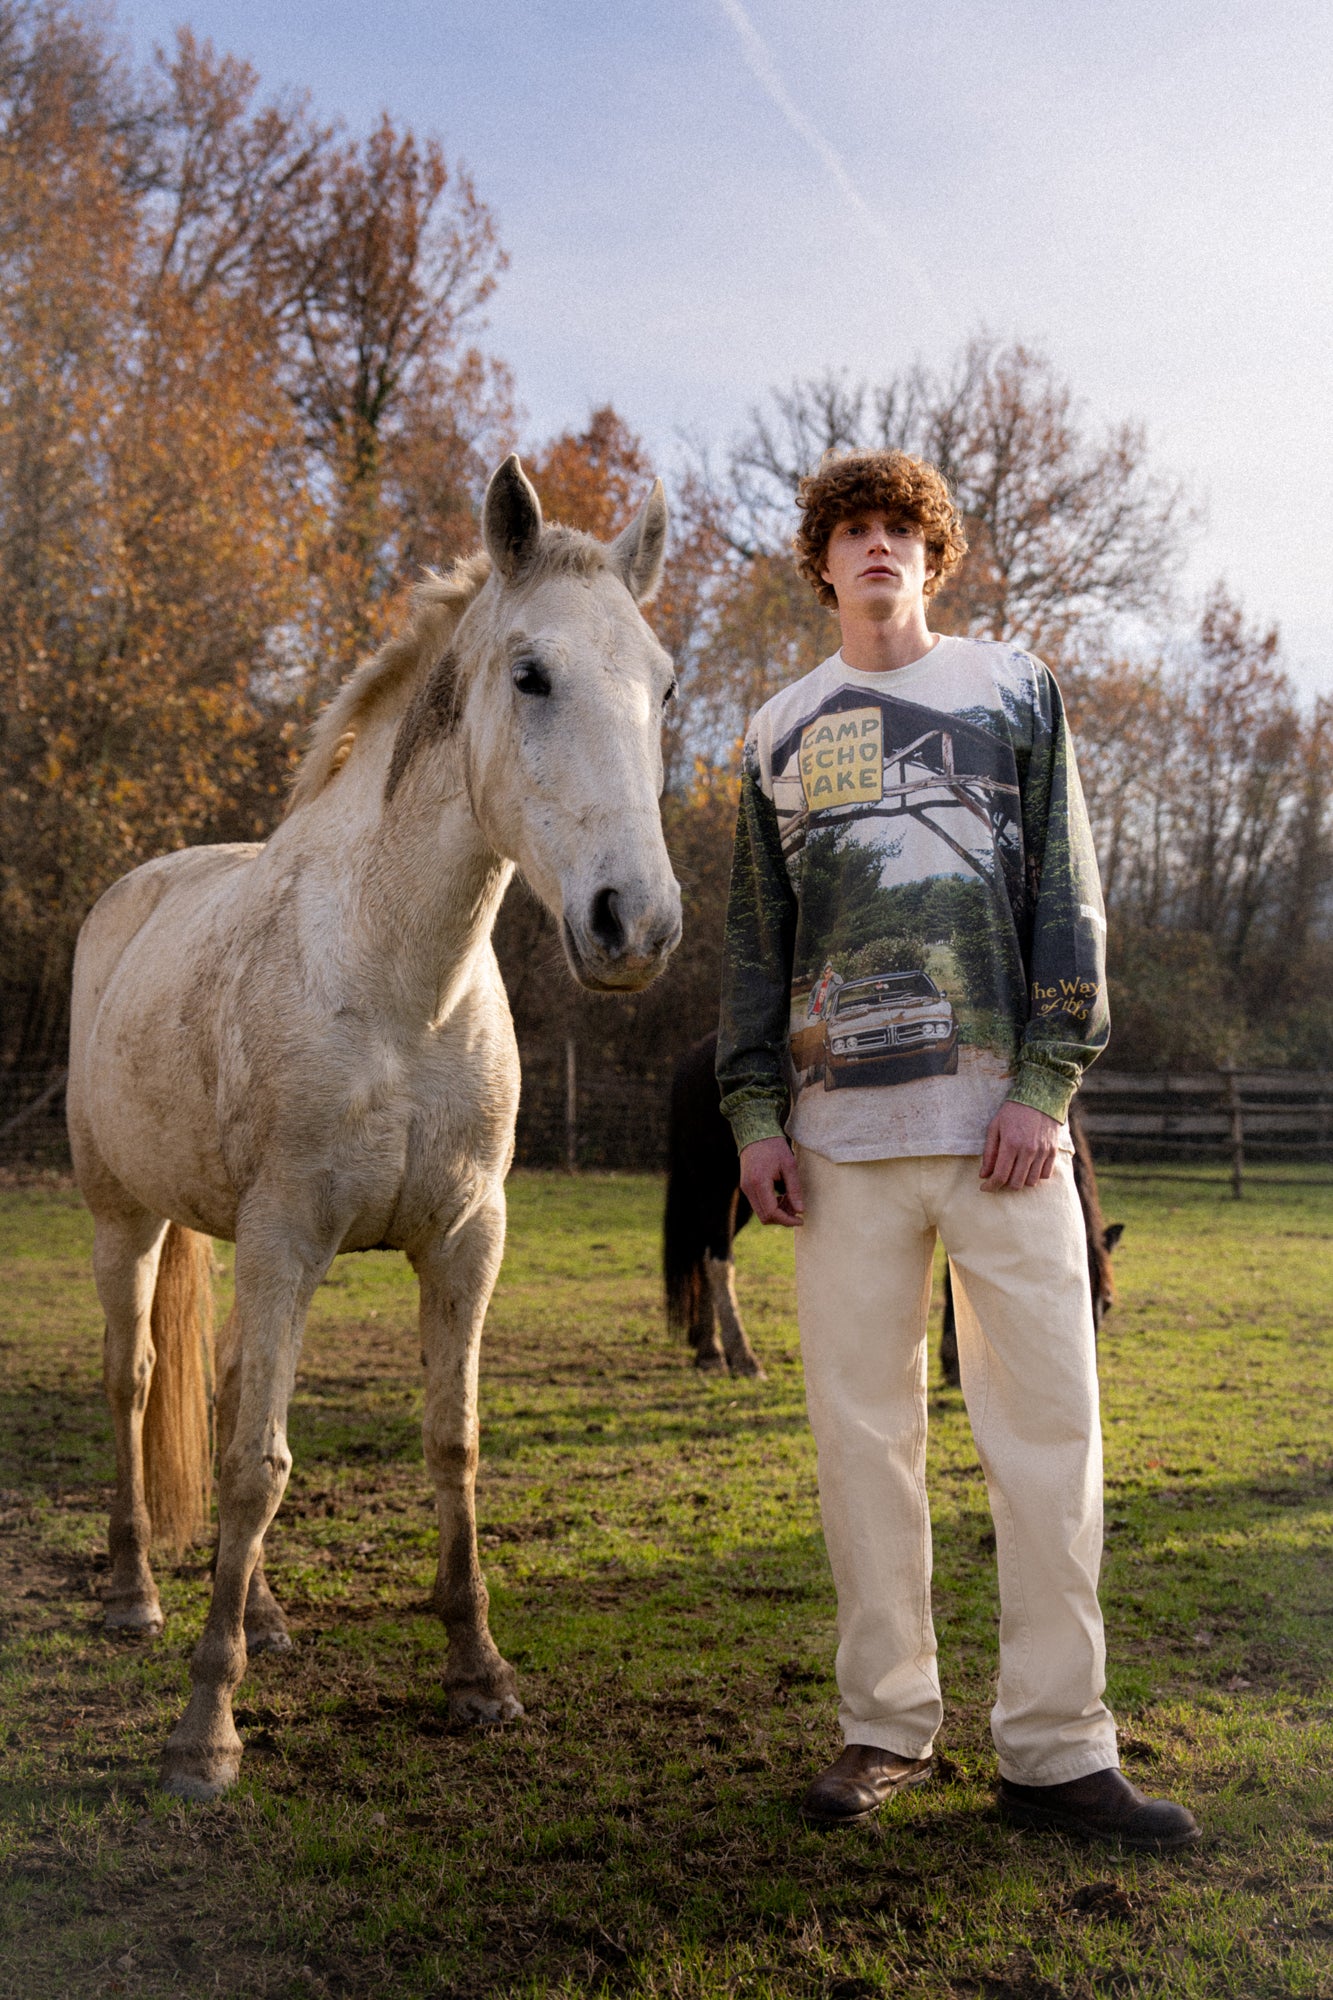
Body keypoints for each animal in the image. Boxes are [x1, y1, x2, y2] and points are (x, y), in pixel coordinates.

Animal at [67, 460, 680, 1808]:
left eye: (663, 684)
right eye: (530, 673)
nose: (637, 922)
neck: (405, 982)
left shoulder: (464, 1241)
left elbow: (448, 1442)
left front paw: (479, 1675)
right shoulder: (287, 1238)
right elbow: (256, 1465)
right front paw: (205, 1729)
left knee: (224, 1390)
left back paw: (265, 1613)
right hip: (126, 1220)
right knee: (134, 1384)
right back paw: (137, 1597)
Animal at [660, 1032, 1112, 1376]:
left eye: (1104, 1304)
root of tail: (690, 1060)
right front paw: (953, 1361)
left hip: (749, 1197)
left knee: (703, 1252)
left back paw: (708, 1348)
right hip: (717, 1185)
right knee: (717, 1259)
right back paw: (740, 1357)